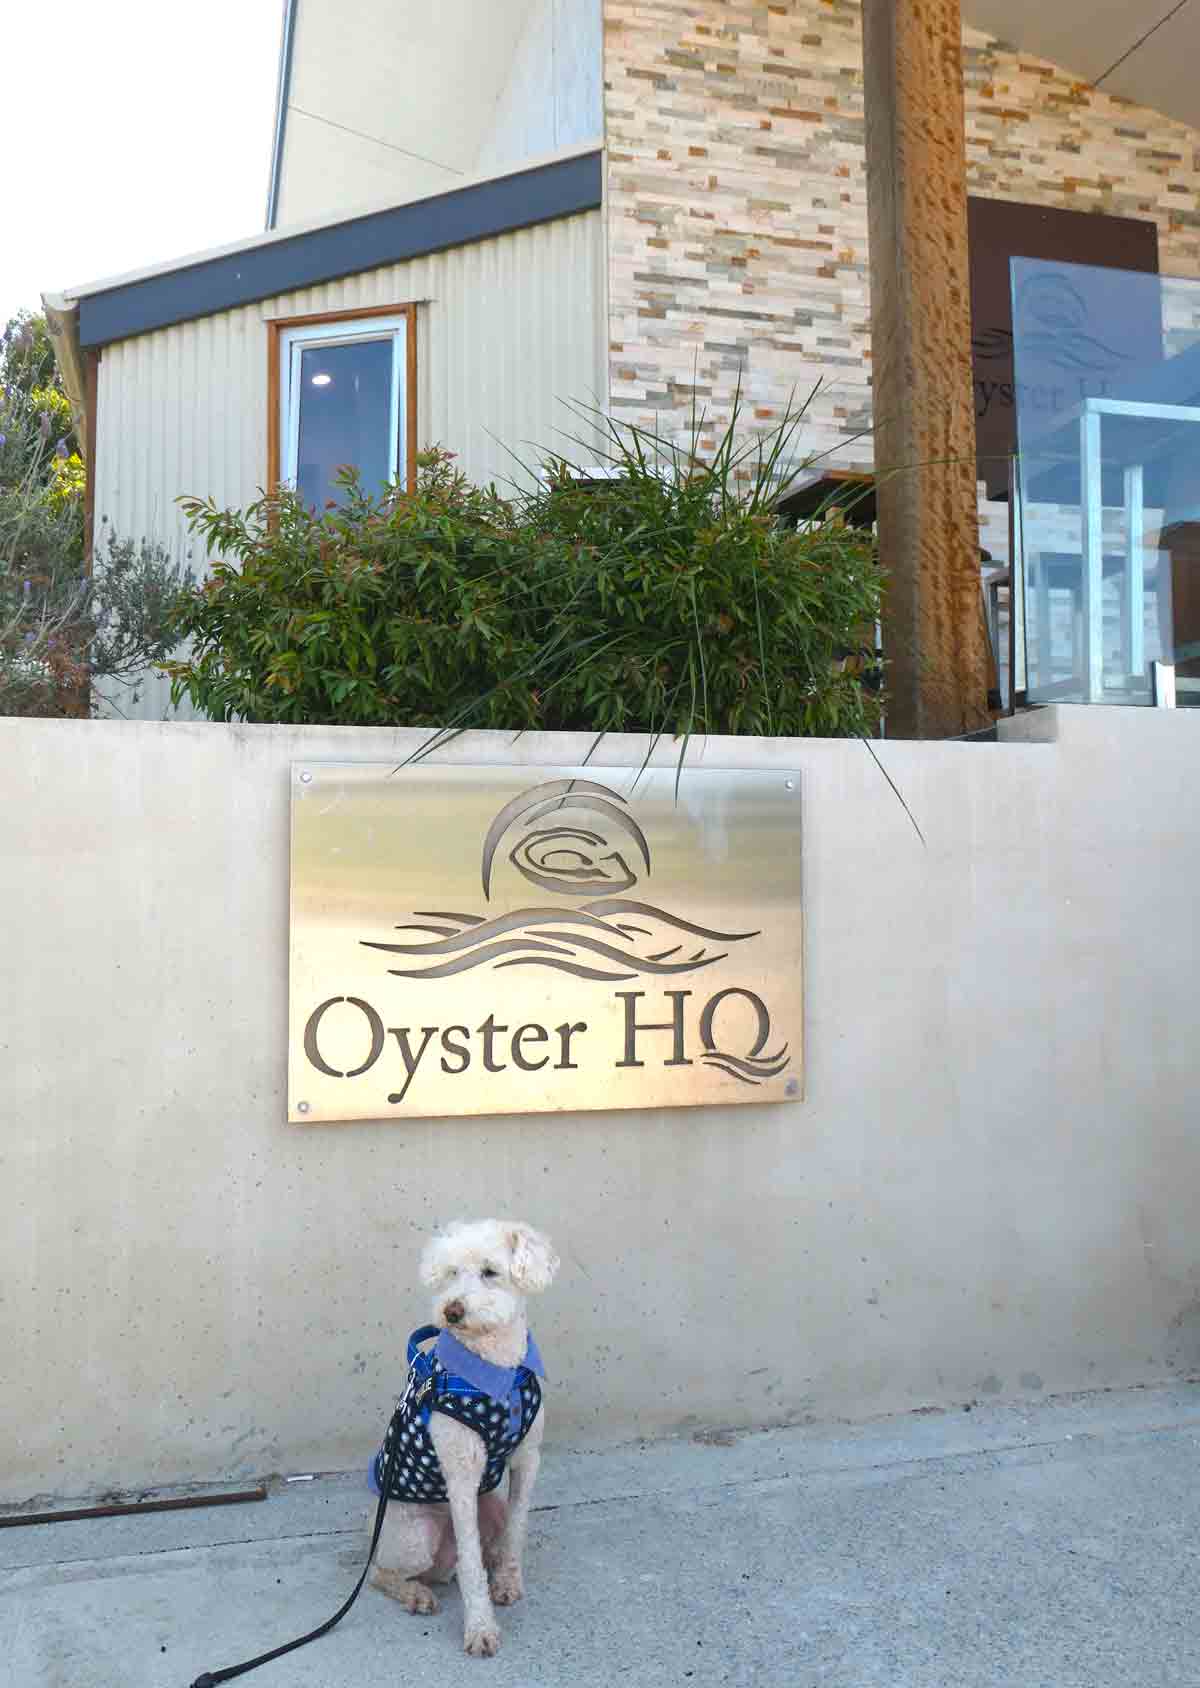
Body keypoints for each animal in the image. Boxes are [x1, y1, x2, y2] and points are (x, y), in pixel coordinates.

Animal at [367, 1222, 560, 1654]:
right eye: (451, 1272)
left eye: (490, 1272)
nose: (451, 1310)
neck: (497, 1368)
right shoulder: (460, 1476)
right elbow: (470, 1562)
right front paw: (480, 1628)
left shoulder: (528, 1459)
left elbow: (517, 1529)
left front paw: (507, 1581)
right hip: (415, 1536)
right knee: (381, 1572)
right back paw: (415, 1594)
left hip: (491, 1508)